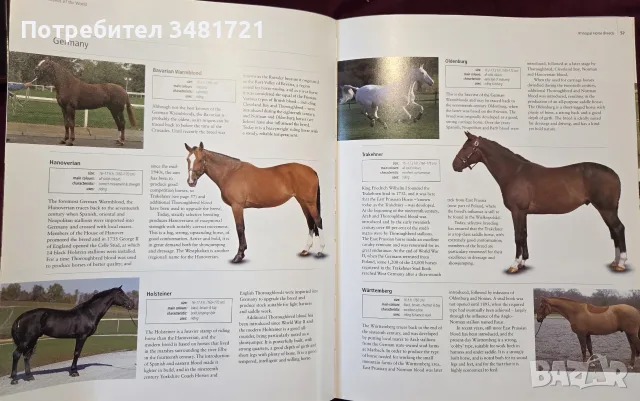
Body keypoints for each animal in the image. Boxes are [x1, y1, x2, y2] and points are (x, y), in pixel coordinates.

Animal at [184, 142, 324, 263]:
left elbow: (240, 228)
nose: (191, 182)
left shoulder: (237, 206)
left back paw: (321, 251)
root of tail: (312, 171)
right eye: (187, 160)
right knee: (310, 222)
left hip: (310, 202)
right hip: (302, 202)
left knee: (318, 221)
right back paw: (306, 250)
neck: (230, 173)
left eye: (200, 160)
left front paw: (239, 256)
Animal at [452, 130, 627, 274]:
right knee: (614, 232)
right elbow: (524, 235)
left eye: (466, 147)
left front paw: (514, 265)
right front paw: (523, 263)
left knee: (618, 229)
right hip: (609, 210)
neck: (514, 173)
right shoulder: (523, 213)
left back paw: (621, 263)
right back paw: (615, 262)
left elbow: (517, 236)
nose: (454, 165)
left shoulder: (517, 211)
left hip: (606, 209)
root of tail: (614, 174)